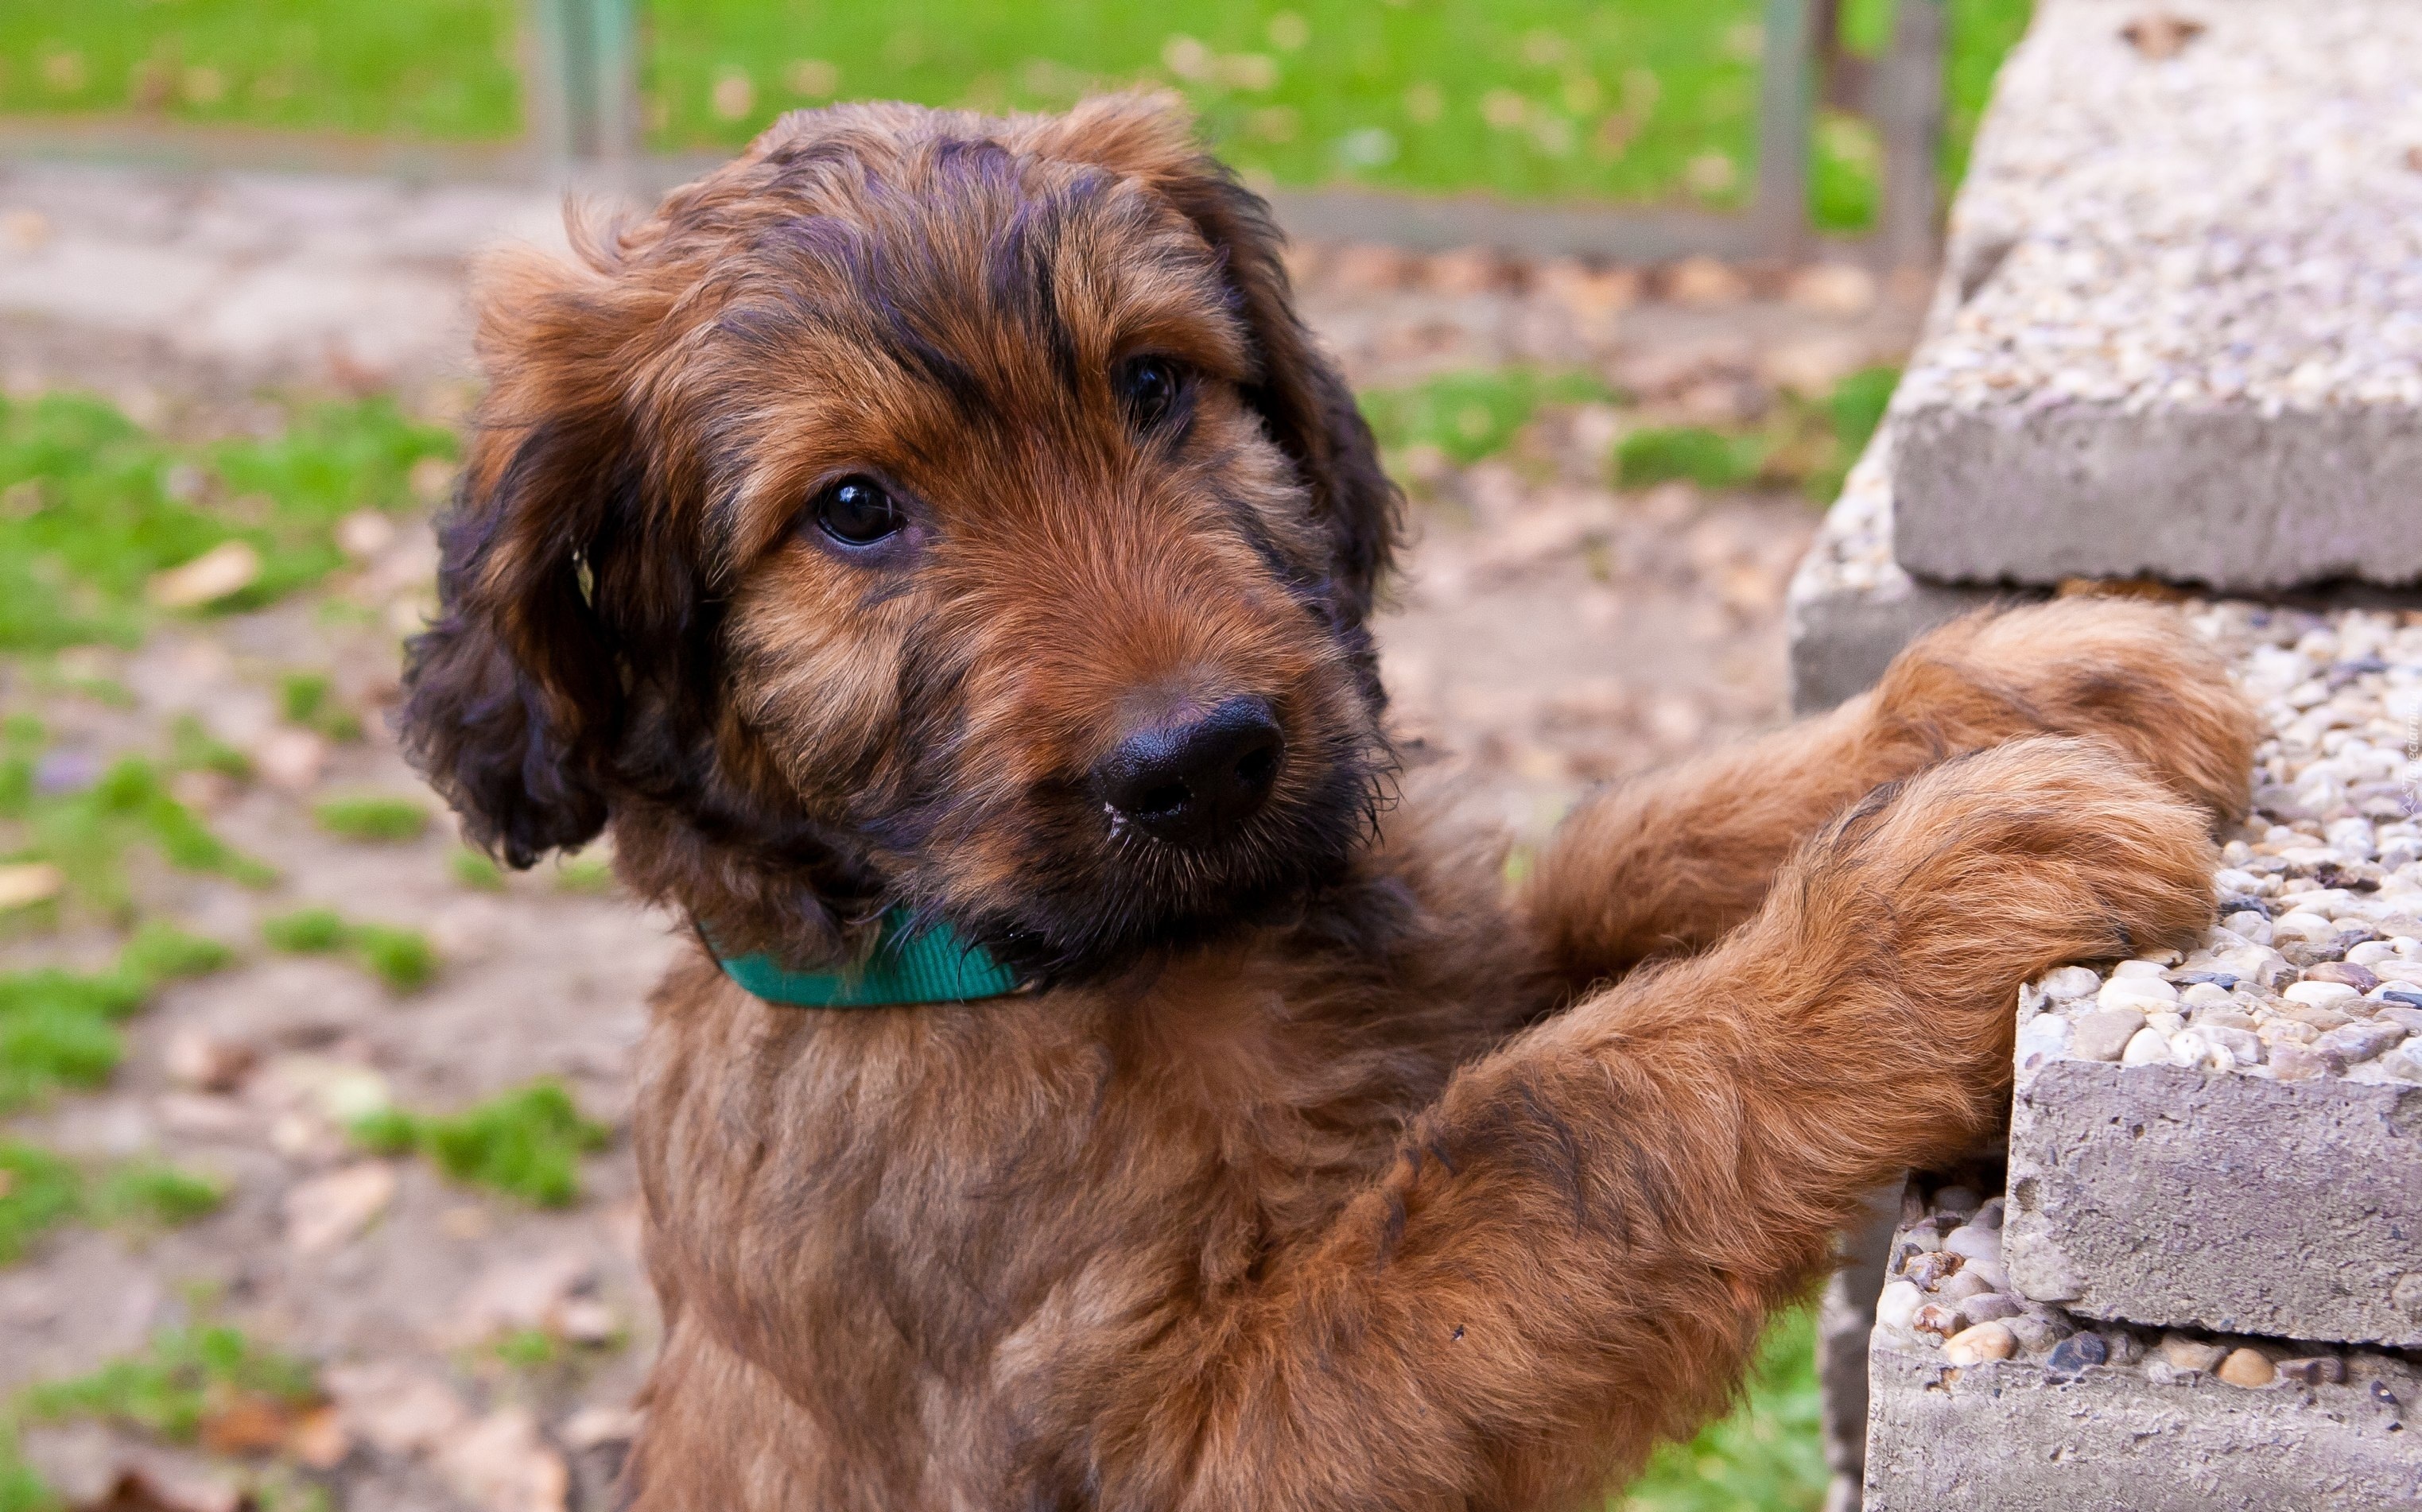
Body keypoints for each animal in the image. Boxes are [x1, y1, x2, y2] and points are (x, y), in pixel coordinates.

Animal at [402, 97, 2267, 1512]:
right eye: (852, 510)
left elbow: (1621, 865)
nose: (1202, 758)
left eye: (1153, 385)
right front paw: (1923, 905)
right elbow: (1549, 1130)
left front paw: (2018, 699)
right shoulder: (1175, 1437)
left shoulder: (1436, 975)